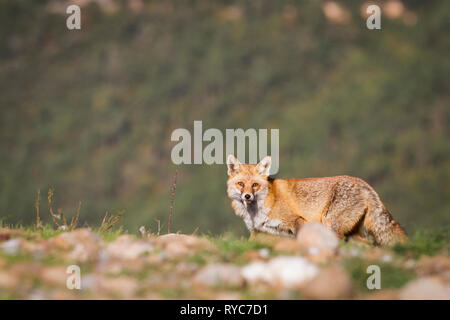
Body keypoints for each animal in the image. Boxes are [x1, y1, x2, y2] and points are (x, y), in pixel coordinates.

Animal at [227, 155, 406, 245]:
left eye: (255, 185)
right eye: (241, 184)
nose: (247, 196)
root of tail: (363, 183)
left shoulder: (298, 221)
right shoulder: (259, 232)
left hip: (331, 225)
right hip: (350, 233)